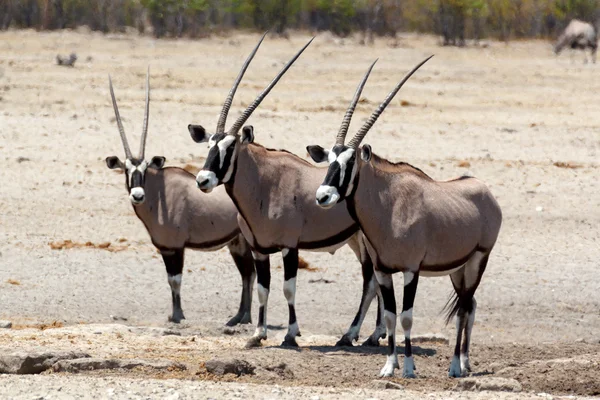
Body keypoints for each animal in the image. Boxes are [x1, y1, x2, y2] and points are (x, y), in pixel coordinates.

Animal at [105, 69, 255, 328]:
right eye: (126, 170)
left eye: (144, 170)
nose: (137, 194)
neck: (158, 194)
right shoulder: (165, 248)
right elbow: (170, 280)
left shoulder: (175, 247)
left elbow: (175, 280)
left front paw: (177, 316)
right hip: (237, 243)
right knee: (248, 274)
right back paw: (239, 317)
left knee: (250, 274)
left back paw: (243, 317)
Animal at [188, 39, 386, 348]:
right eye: (209, 145)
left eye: (230, 148)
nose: (203, 179)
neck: (264, 185)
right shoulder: (259, 249)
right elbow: (263, 289)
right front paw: (257, 334)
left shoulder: (289, 246)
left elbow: (288, 289)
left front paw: (291, 334)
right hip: (357, 242)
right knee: (374, 282)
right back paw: (366, 334)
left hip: (368, 242)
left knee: (372, 282)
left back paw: (363, 335)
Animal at [310, 56, 502, 378]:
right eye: (329, 160)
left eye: (350, 162)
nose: (323, 196)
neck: (387, 206)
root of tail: (484, 191)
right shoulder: (383, 270)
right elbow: (389, 316)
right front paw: (389, 366)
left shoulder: (411, 269)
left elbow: (407, 317)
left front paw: (409, 368)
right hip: (458, 269)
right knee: (470, 305)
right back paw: (464, 362)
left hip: (479, 260)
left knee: (464, 309)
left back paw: (454, 366)